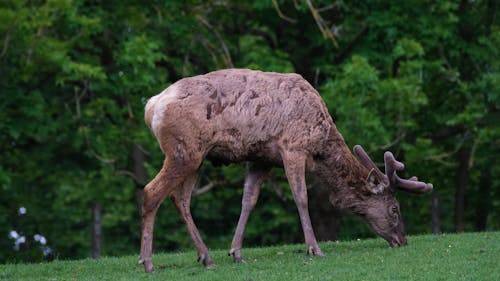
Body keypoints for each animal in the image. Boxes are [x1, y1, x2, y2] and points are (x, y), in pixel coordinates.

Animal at [139, 68, 432, 272]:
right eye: (394, 209)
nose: (402, 239)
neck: (320, 145)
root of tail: (151, 106)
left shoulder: (261, 159)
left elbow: (249, 200)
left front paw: (236, 252)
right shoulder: (293, 146)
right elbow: (301, 197)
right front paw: (314, 248)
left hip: (197, 157)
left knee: (180, 198)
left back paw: (206, 256)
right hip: (184, 150)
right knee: (151, 192)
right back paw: (148, 261)